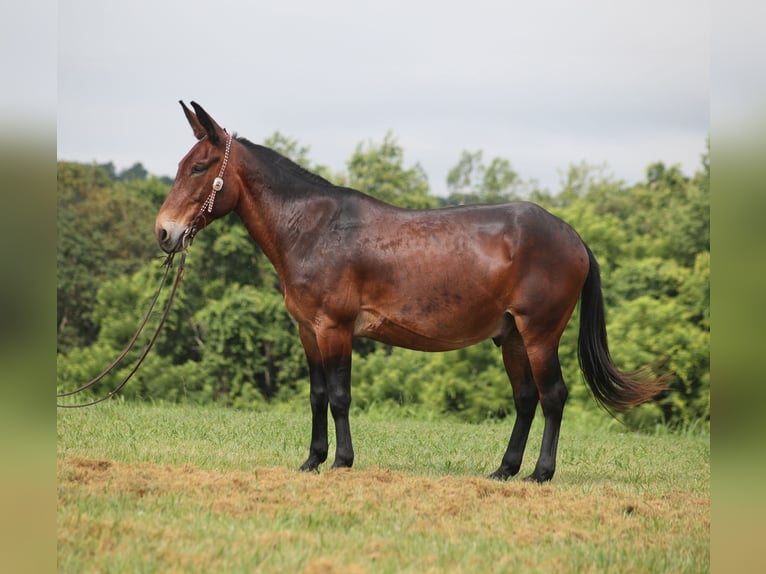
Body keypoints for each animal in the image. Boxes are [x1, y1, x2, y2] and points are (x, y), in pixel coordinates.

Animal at [155, 101, 668, 482]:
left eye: (199, 167)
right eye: (180, 165)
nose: (164, 232)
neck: (315, 229)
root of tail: (572, 235)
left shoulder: (335, 328)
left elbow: (339, 396)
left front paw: (342, 461)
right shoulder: (308, 331)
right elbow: (318, 395)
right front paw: (313, 460)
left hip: (540, 334)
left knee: (553, 396)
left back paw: (541, 472)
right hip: (513, 337)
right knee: (525, 399)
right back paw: (504, 470)